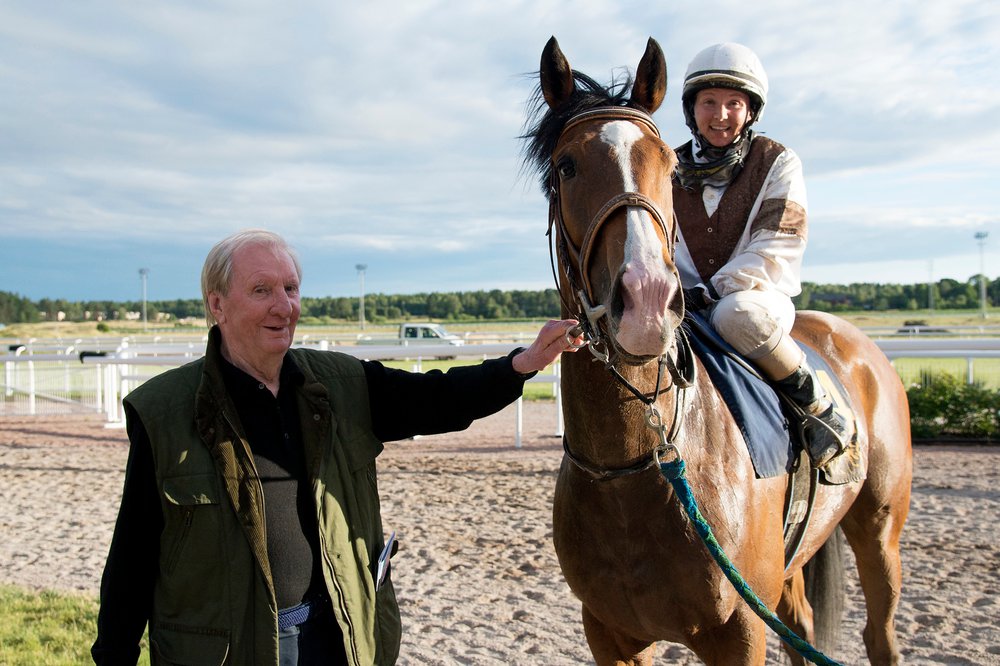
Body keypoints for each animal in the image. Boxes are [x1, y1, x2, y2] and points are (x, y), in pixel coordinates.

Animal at [524, 37, 916, 664]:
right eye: (567, 164)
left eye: (666, 162)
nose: (647, 301)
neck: (640, 464)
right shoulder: (609, 633)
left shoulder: (740, 630)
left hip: (879, 530)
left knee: (879, 634)